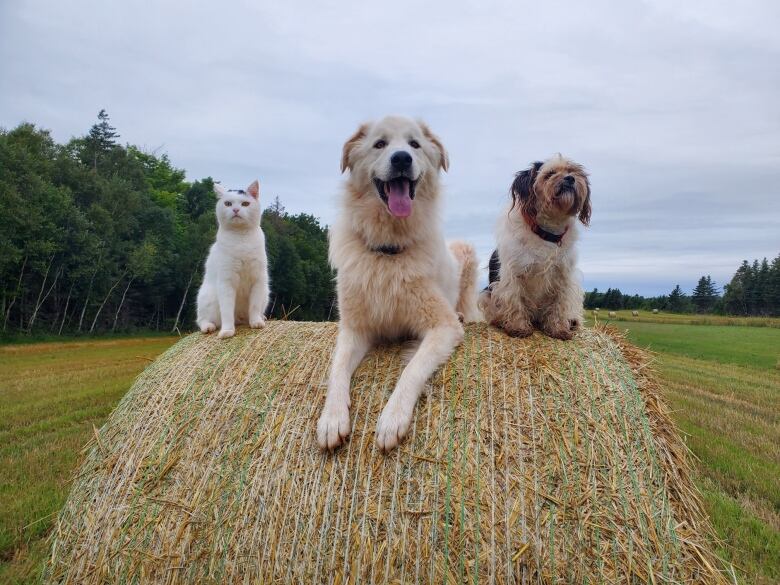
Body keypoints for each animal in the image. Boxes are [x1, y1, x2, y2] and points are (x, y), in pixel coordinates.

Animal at [197, 180, 270, 340]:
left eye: (245, 204)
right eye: (228, 203)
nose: (236, 210)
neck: (241, 236)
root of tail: (240, 319)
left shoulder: (258, 279)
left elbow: (254, 307)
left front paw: (256, 322)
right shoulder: (226, 282)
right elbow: (226, 311)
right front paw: (227, 331)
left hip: (266, 293)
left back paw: (261, 318)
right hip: (207, 296)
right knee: (202, 319)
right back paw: (208, 327)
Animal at [318, 115, 482, 452]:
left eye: (414, 144)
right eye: (380, 144)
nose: (402, 159)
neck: (388, 251)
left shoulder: (442, 326)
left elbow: (412, 369)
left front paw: (392, 418)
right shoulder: (354, 329)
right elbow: (337, 370)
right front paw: (332, 418)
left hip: (466, 253)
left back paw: (466, 314)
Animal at [482, 155, 592, 340]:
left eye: (573, 171)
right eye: (550, 174)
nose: (570, 179)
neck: (547, 233)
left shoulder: (563, 276)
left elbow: (559, 305)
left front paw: (558, 329)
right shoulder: (513, 274)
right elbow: (515, 301)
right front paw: (518, 328)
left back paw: (572, 321)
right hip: (487, 294)